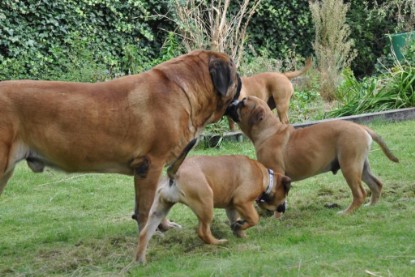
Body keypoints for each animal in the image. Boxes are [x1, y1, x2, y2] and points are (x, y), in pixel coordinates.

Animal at [0, 50, 242, 231]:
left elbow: (156, 201)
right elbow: (146, 208)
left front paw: (163, 225)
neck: (183, 90)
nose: (241, 80)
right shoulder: (150, 164)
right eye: (235, 72)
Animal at [136, 139, 292, 262]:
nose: (283, 208)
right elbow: (254, 218)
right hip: (206, 204)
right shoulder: (242, 201)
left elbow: (235, 220)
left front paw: (240, 232)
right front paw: (241, 227)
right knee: (202, 231)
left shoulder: (232, 206)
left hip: (159, 209)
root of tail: (174, 174)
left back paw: (140, 260)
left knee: (144, 234)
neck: (266, 178)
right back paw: (218, 242)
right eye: (284, 195)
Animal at [228, 96, 400, 215]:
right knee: (376, 184)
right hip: (361, 166)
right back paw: (371, 206)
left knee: (360, 193)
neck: (267, 129)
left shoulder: (276, 173)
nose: (232, 102)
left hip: (349, 166)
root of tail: (362, 127)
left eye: (243, 103)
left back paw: (347, 212)